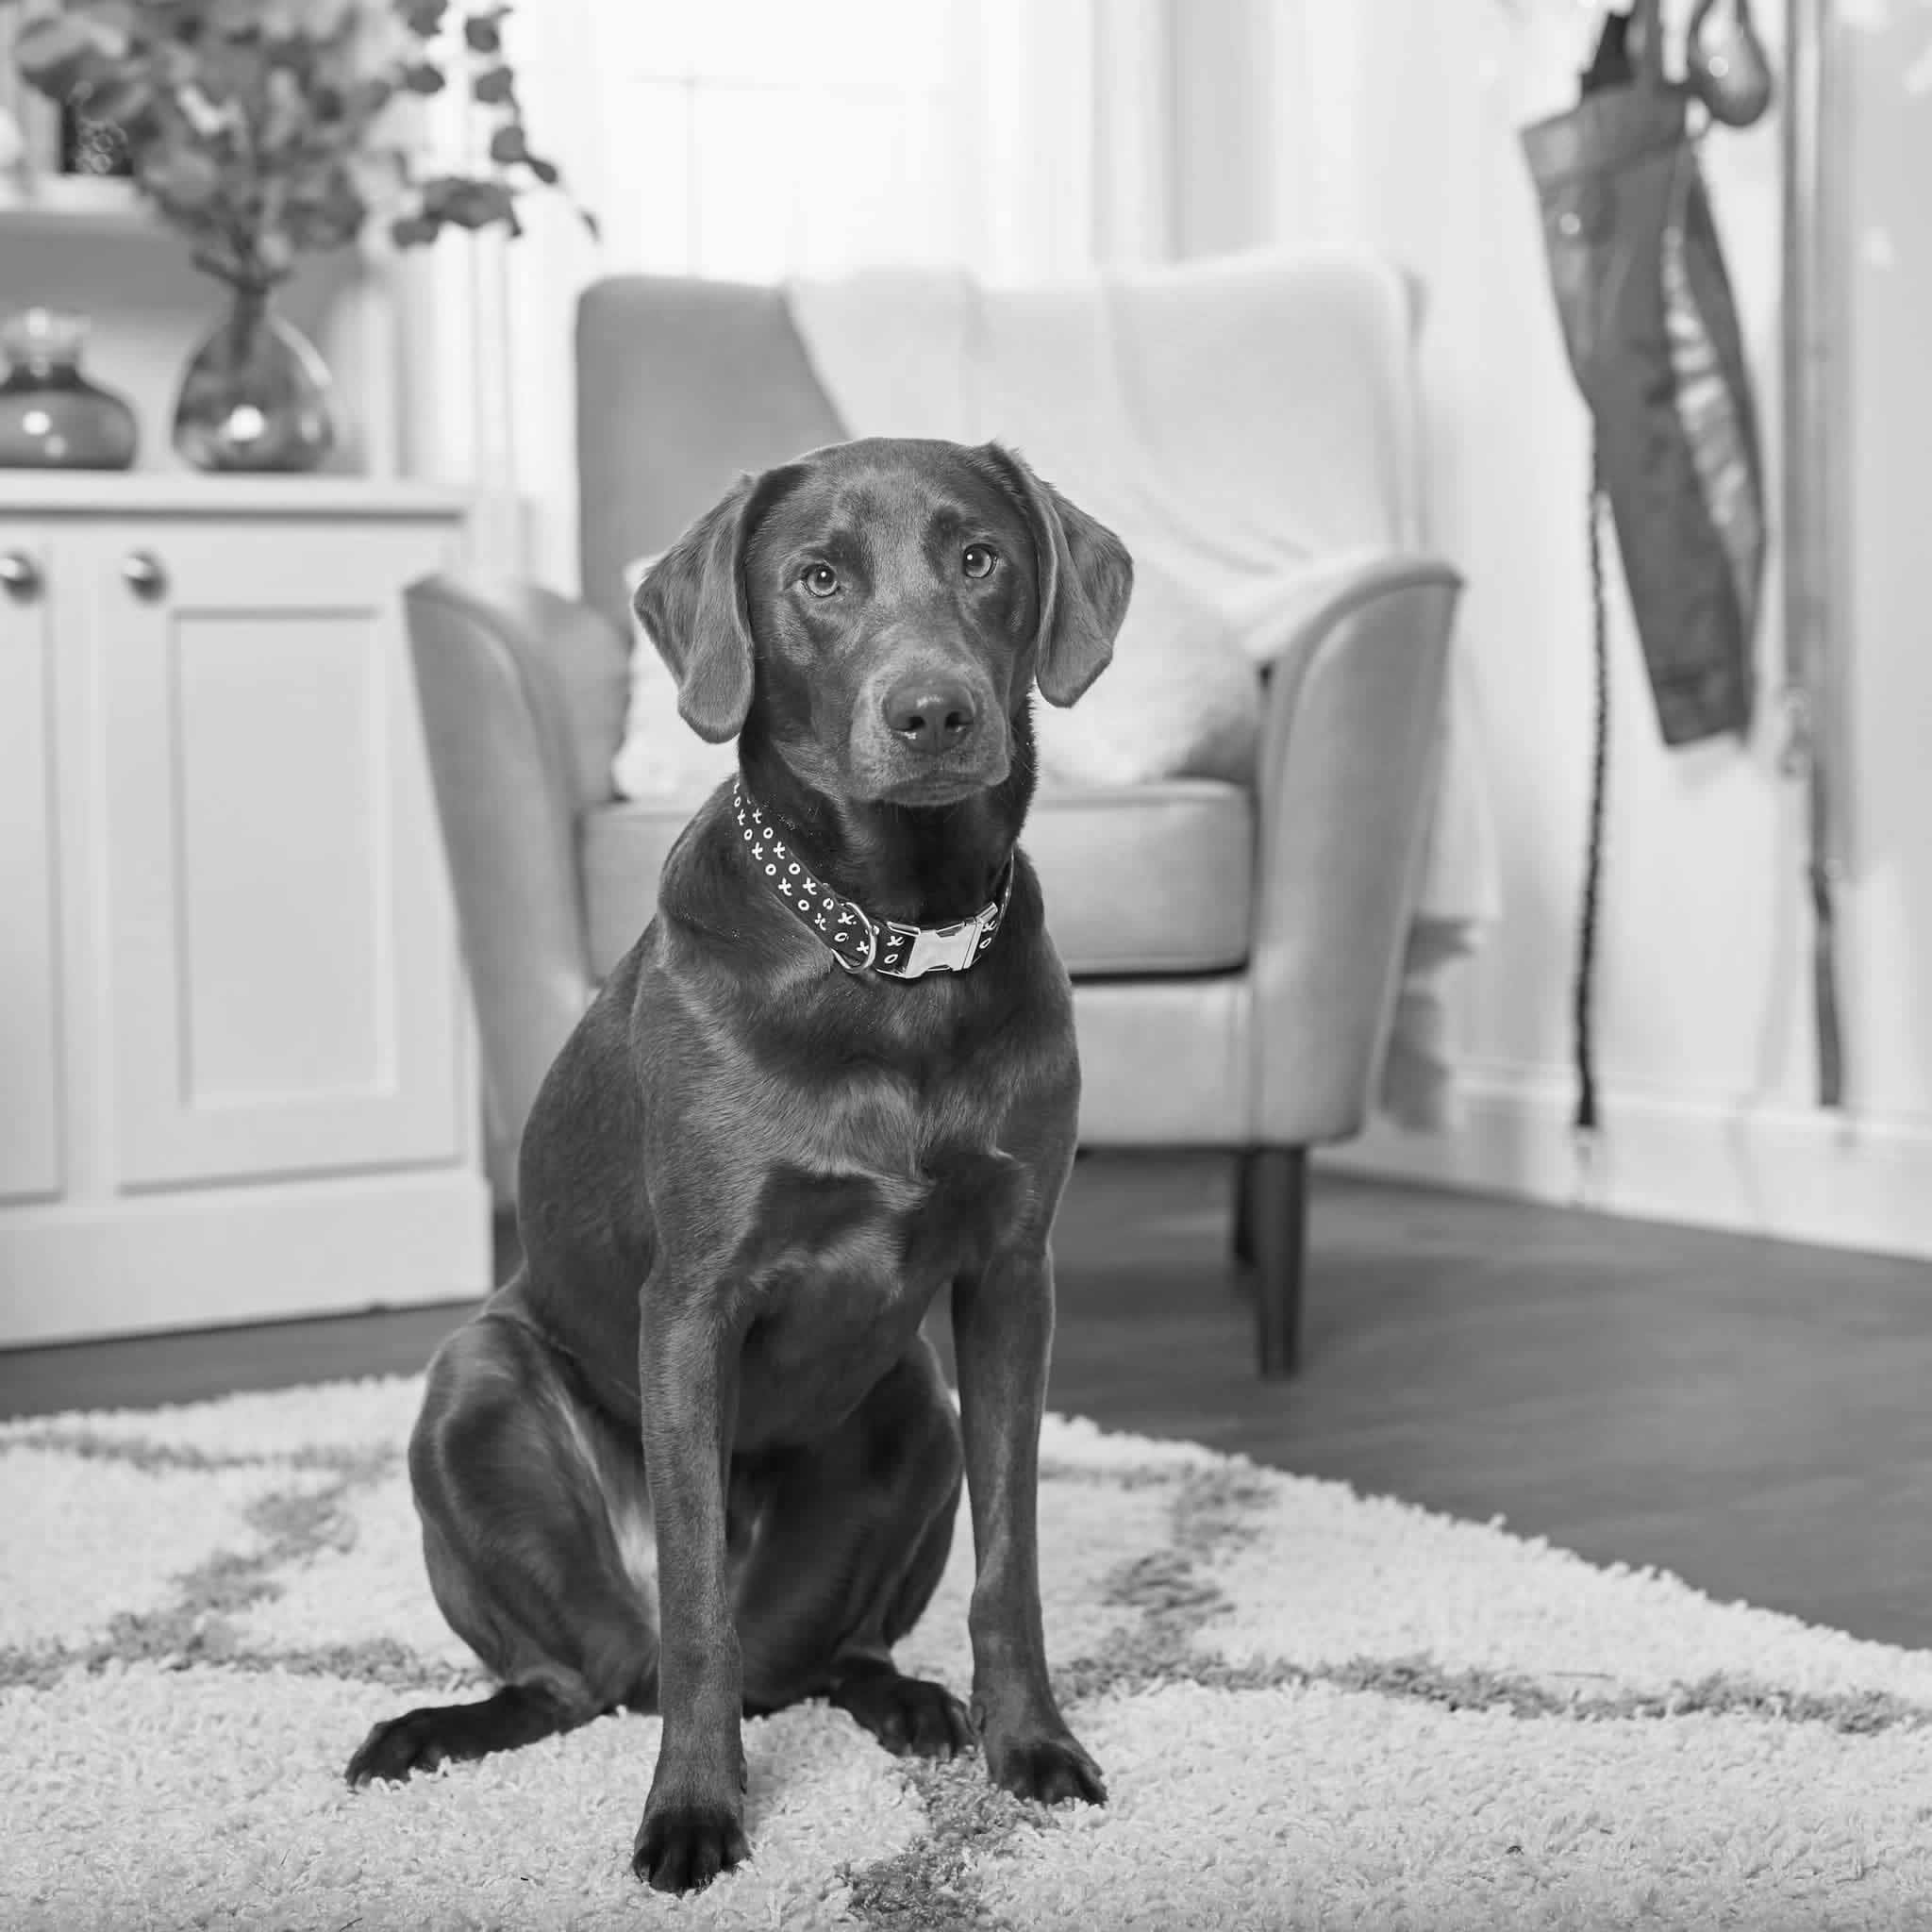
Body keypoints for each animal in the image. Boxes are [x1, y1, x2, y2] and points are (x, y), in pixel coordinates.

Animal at [345, 436, 1133, 1894]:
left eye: (980, 558)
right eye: (817, 577)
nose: (934, 713)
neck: (891, 945)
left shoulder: (1011, 1277)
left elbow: (1012, 1560)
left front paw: (1031, 1746)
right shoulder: (693, 1305)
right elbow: (700, 1602)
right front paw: (696, 1814)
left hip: (913, 1404)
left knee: (821, 1658)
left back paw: (910, 1703)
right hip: (475, 1385)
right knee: (587, 1675)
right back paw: (433, 1730)